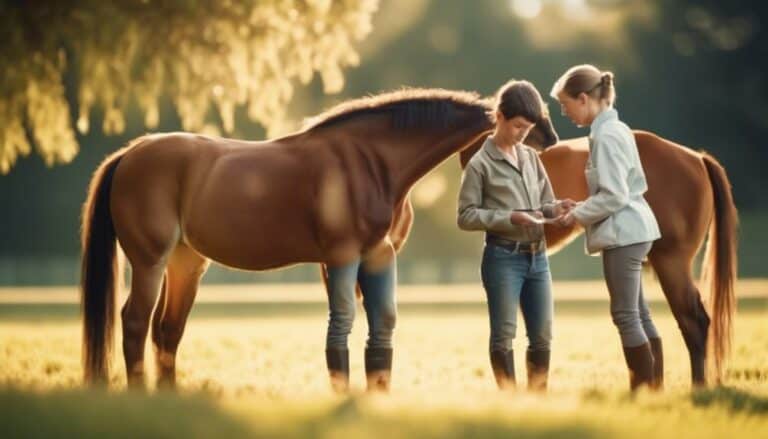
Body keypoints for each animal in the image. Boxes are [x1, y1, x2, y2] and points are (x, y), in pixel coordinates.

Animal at [79, 87, 504, 386]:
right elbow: (342, 326)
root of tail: (130, 154)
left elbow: (376, 325)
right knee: (135, 323)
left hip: (186, 263)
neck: (372, 162)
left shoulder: (375, 256)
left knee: (167, 331)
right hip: (150, 262)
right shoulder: (341, 257)